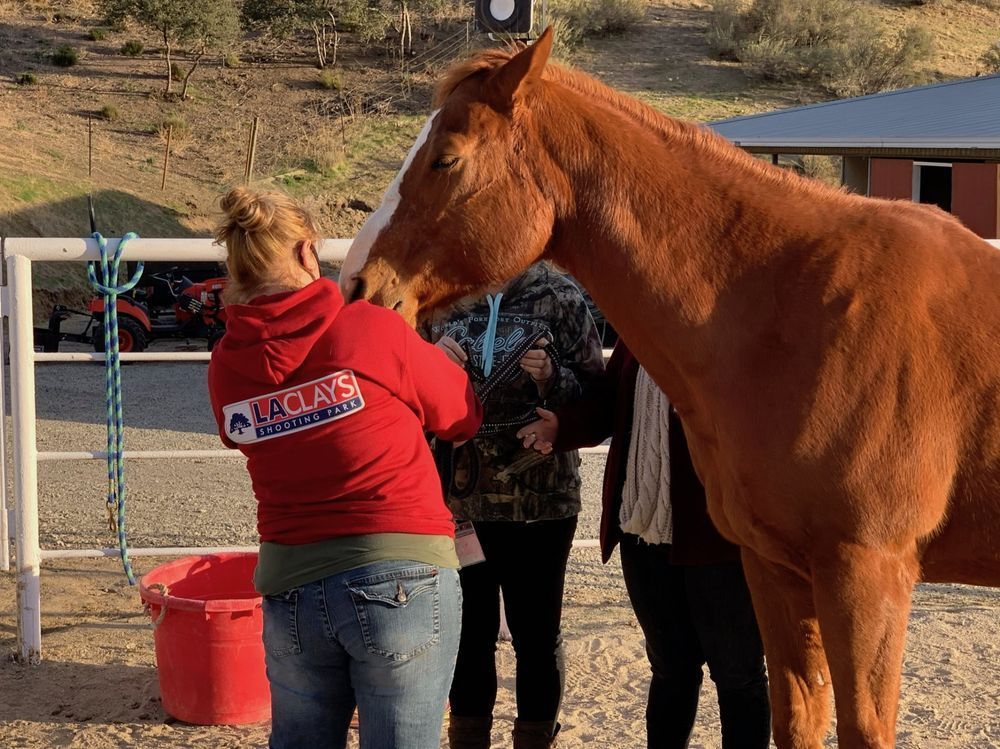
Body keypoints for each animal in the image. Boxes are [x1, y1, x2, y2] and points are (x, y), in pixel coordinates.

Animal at [339, 29, 1000, 748]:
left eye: (446, 158)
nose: (356, 286)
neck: (800, 304)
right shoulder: (775, 569)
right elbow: (796, 718)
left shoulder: (867, 577)